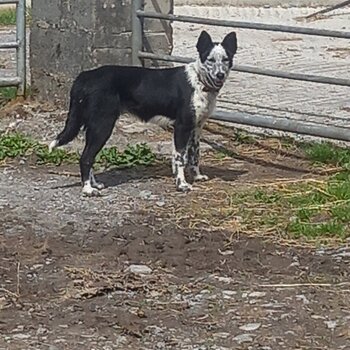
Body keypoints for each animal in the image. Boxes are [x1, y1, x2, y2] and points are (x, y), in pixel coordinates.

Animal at [49, 30, 237, 196]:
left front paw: (197, 176)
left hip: (94, 127)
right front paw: (181, 184)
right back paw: (88, 189)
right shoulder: (182, 127)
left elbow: (194, 155)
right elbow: (180, 158)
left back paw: (94, 183)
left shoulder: (196, 128)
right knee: (86, 157)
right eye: (210, 60)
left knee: (89, 156)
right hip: (102, 126)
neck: (199, 81)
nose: (220, 75)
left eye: (226, 59)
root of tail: (85, 76)